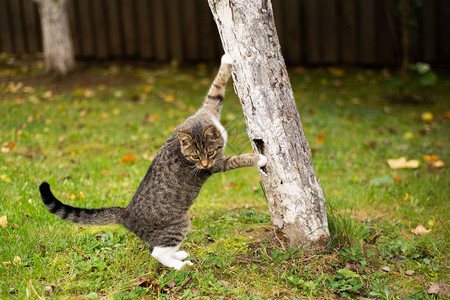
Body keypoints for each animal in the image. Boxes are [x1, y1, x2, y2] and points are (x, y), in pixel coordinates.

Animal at [38, 53, 268, 270]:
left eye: (208, 153)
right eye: (196, 157)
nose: (203, 164)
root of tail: (127, 212)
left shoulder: (208, 110)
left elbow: (216, 89)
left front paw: (226, 60)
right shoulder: (218, 165)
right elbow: (236, 160)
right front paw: (259, 158)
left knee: (155, 247)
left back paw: (179, 255)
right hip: (178, 223)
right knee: (157, 252)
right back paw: (180, 265)